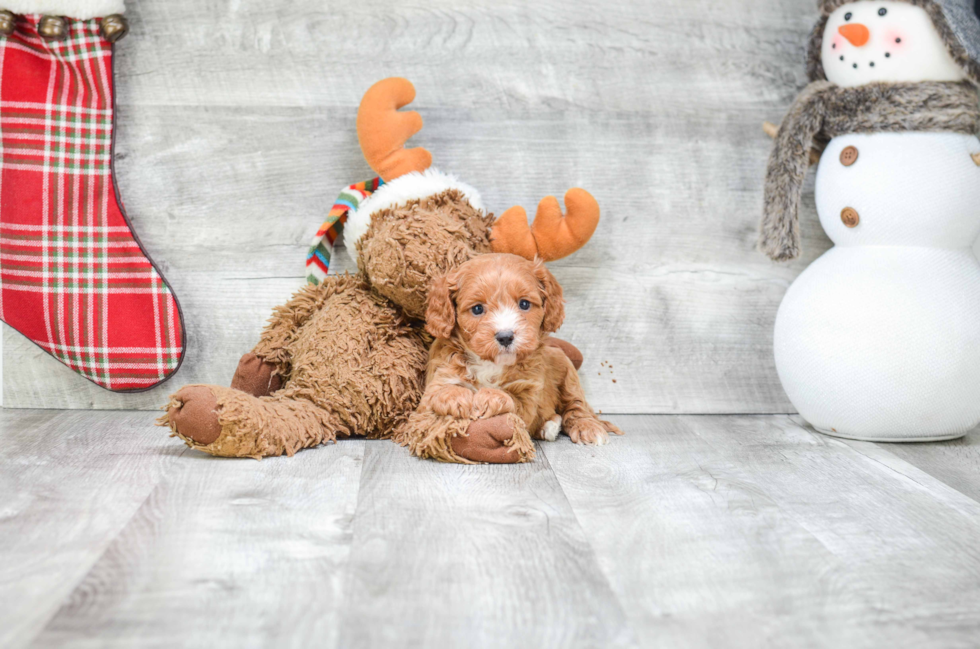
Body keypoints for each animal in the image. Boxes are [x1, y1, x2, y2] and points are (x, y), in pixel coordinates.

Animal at [420, 252, 620, 446]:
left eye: (524, 304)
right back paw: (549, 427)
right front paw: (458, 397)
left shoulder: (529, 394)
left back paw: (586, 427)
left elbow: (511, 397)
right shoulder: (438, 378)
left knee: (576, 405)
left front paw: (489, 396)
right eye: (477, 309)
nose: (505, 336)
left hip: (567, 370)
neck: (491, 364)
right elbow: (438, 393)